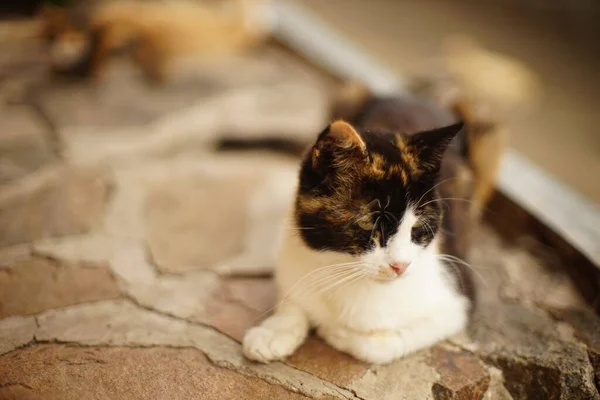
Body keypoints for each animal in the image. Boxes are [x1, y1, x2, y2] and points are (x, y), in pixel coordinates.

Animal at [241, 89, 504, 364]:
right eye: (369, 222)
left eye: (419, 226)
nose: (401, 266)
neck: (345, 272)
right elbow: (293, 297)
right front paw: (275, 331)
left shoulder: (457, 300)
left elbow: (383, 345)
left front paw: (337, 332)